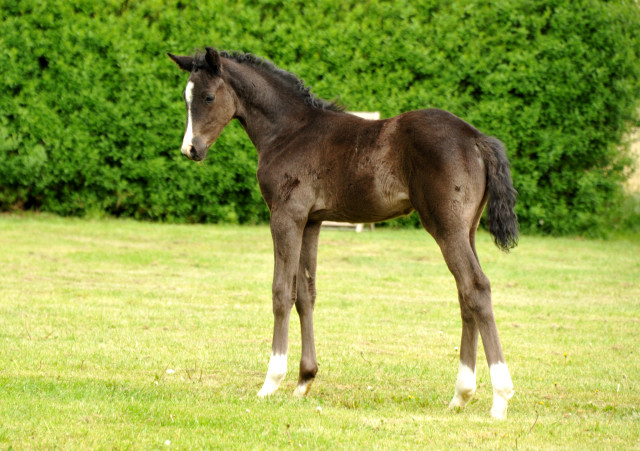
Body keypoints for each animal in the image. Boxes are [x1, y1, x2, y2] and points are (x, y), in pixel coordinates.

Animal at [168, 46, 516, 420]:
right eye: (186, 98)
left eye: (208, 96)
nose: (190, 150)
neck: (288, 131)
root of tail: (477, 139)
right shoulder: (311, 221)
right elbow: (305, 294)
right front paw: (304, 380)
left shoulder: (286, 216)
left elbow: (281, 292)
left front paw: (271, 382)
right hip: (466, 230)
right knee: (465, 295)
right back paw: (460, 395)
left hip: (446, 228)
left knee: (476, 287)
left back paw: (500, 397)